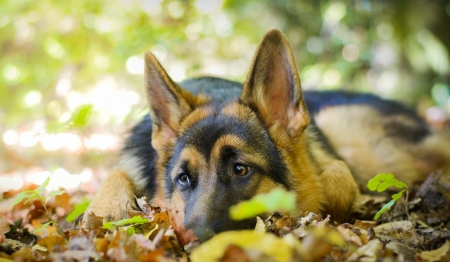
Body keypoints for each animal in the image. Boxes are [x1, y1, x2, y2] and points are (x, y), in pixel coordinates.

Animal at [84, 28, 450, 242]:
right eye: (183, 178)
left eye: (241, 169)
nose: (195, 238)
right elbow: (108, 188)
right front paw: (110, 214)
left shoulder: (329, 161)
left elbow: (336, 178)